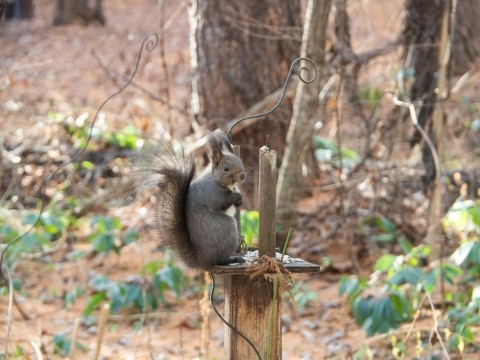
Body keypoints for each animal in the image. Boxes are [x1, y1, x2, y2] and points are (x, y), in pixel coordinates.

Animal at [135, 132, 248, 270]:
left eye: (240, 162)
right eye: (226, 168)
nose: (242, 175)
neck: (215, 180)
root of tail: (201, 260)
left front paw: (240, 200)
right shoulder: (211, 194)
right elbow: (224, 200)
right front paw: (237, 197)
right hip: (226, 229)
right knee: (219, 259)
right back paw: (232, 259)